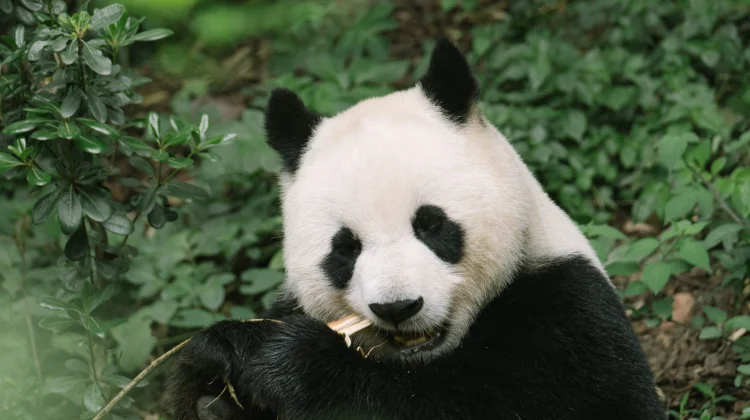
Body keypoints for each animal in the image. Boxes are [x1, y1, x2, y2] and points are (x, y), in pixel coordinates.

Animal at [166, 38, 665, 420]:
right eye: (345, 249)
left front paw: (294, 367)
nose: (398, 307)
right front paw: (218, 367)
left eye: (431, 225)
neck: (418, 360)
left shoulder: (567, 318)